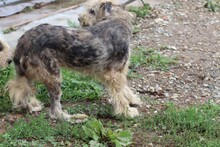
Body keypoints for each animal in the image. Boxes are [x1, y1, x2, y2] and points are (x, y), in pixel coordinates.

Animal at [6, 0, 143, 123]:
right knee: (54, 111)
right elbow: (119, 94)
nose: (79, 18)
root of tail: (21, 43)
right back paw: (73, 118)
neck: (116, 19)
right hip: (53, 76)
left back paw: (32, 106)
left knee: (22, 92)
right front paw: (127, 112)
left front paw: (133, 99)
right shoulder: (113, 73)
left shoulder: (114, 72)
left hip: (29, 75)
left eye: (92, 11)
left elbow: (124, 88)